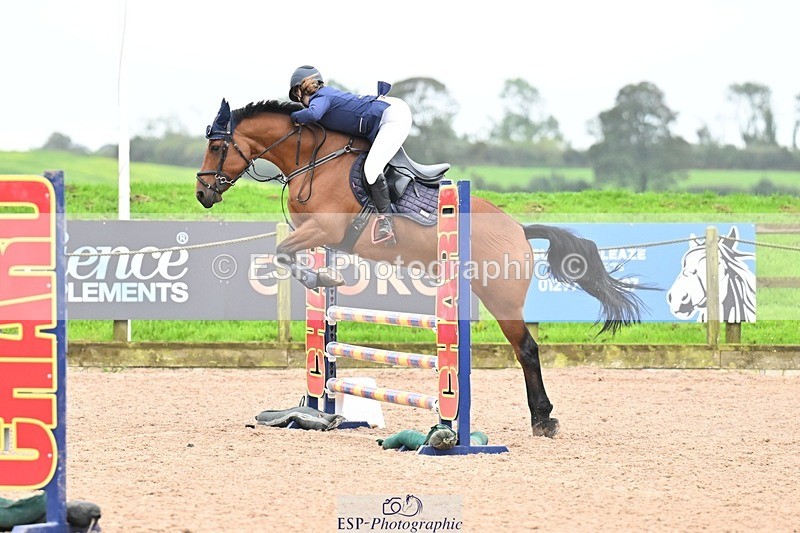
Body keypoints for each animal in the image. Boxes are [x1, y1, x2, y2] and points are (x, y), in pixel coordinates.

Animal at [195, 98, 646, 438]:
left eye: (217, 148)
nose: (202, 193)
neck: (314, 159)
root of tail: (519, 229)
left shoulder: (323, 228)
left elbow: (284, 254)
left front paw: (321, 276)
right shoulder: (320, 235)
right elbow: (292, 265)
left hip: (501, 299)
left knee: (527, 350)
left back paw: (542, 419)